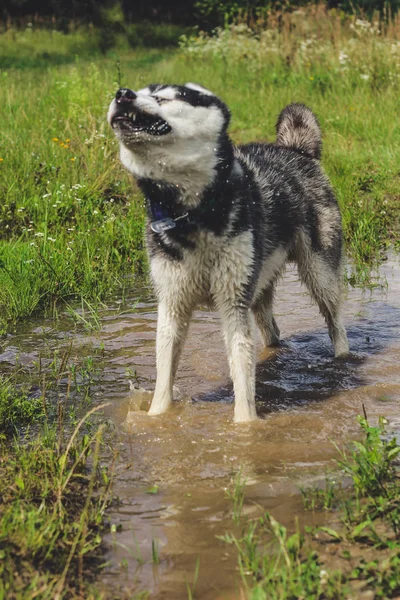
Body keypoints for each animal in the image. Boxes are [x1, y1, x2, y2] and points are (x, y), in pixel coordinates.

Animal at [108, 83, 348, 422]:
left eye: (165, 96)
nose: (122, 94)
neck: (193, 214)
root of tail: (295, 149)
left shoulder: (232, 304)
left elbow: (242, 381)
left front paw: (245, 427)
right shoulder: (172, 304)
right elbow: (164, 379)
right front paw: (157, 419)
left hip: (319, 274)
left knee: (336, 323)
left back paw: (343, 360)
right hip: (259, 284)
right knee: (271, 330)